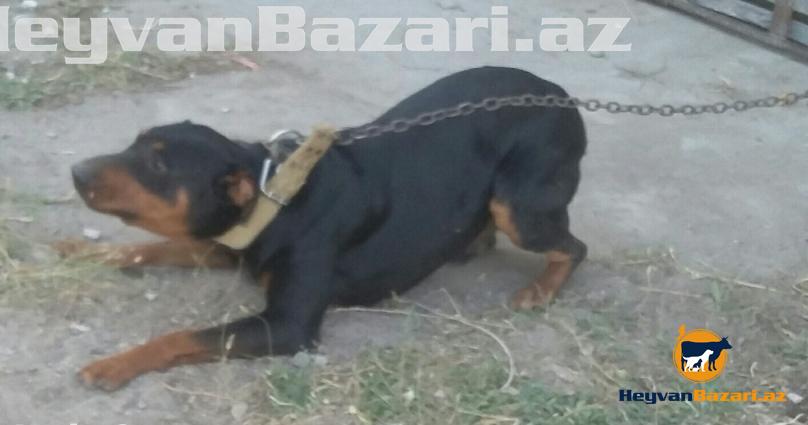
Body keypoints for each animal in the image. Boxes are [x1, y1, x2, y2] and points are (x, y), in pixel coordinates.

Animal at [57, 66, 588, 391]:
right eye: (135, 143)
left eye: (159, 166)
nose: (76, 172)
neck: (276, 195)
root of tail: (558, 92)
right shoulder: (231, 242)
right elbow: (147, 247)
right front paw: (83, 251)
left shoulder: (286, 326)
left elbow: (181, 336)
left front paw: (113, 364)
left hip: (519, 206)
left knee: (573, 247)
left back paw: (540, 289)